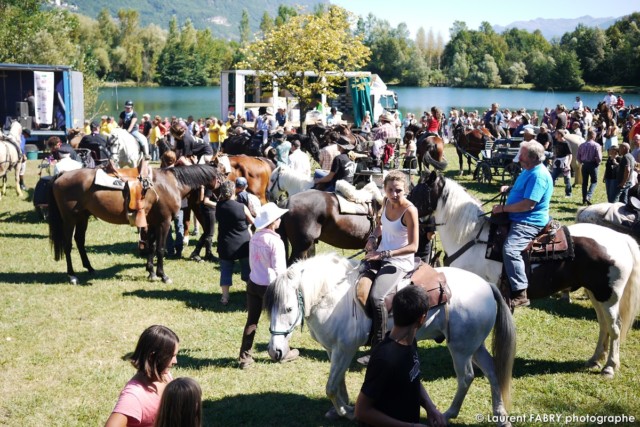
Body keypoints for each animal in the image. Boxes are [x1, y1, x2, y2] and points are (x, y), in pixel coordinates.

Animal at [47, 164, 224, 284]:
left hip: (82, 217)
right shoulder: (164, 222)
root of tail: (63, 174)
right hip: (69, 219)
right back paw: (72, 275)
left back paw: (90, 268)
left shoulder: (152, 222)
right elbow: (160, 249)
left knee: (80, 241)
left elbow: (151, 246)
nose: (226, 193)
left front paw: (151, 272)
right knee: (68, 245)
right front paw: (163, 275)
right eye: (223, 176)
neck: (171, 184)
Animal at [264, 254, 516, 424]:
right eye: (269, 309)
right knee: (492, 371)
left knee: (466, 377)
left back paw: (448, 414)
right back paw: (500, 415)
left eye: (288, 308)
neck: (332, 296)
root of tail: (486, 285)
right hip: (475, 345)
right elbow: (339, 382)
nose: (275, 351)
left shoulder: (345, 349)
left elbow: (331, 387)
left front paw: (348, 412)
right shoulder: (333, 349)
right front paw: (341, 408)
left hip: (461, 348)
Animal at [410, 171, 640, 378]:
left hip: (609, 295)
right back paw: (594, 360)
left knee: (615, 327)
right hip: (595, 292)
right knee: (603, 324)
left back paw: (609, 366)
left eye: (417, 192)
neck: (471, 237)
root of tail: (622, 239)